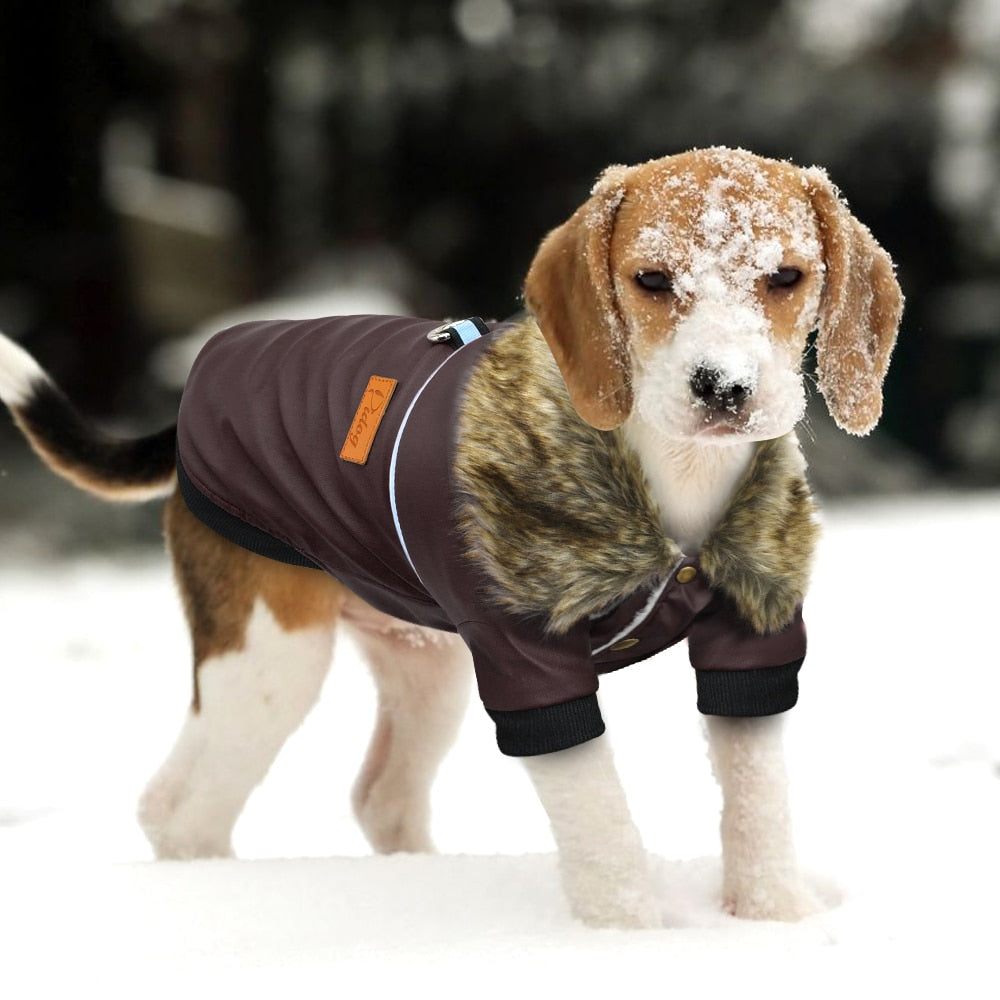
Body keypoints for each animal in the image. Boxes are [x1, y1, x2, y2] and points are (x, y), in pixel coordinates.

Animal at [0, 148, 904, 928]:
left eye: (785, 277)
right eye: (652, 280)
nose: (723, 387)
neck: (671, 478)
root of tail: (198, 389)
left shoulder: (754, 637)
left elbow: (757, 801)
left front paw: (773, 920)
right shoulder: (532, 665)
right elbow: (601, 824)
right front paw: (627, 939)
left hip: (423, 667)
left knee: (382, 799)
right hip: (268, 662)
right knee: (180, 810)